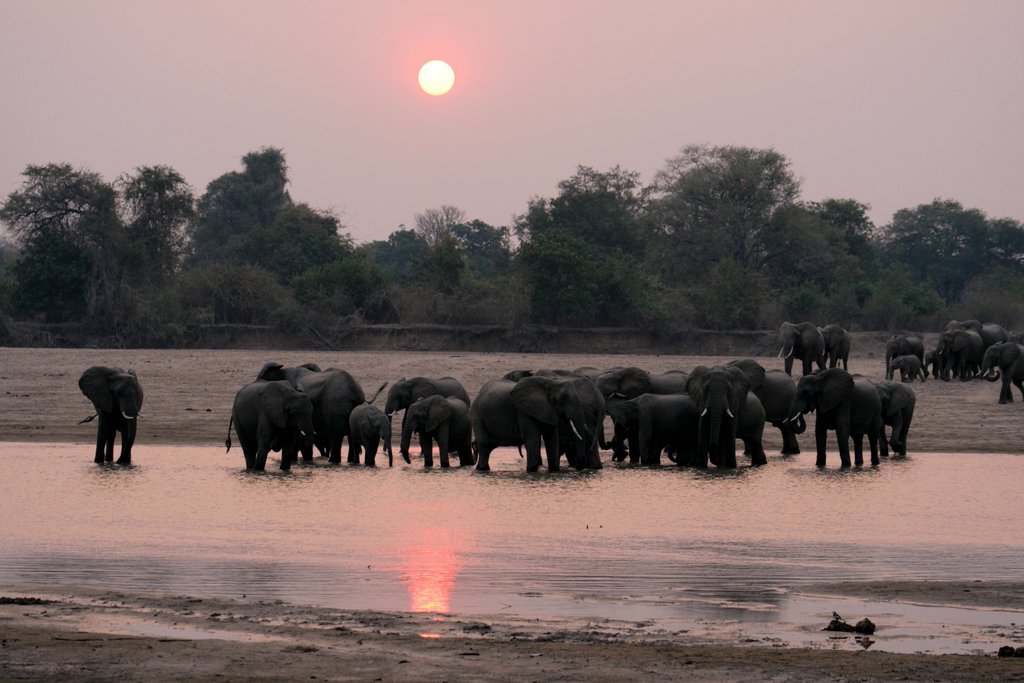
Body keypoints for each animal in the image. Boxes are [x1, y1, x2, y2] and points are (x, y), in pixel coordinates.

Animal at [472, 375, 604, 472]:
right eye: (563, 399)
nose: (579, 467)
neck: (551, 383)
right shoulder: (524, 411)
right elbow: (533, 438)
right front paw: (532, 470)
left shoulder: (548, 409)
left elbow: (552, 438)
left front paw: (554, 470)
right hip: (478, 417)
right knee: (484, 446)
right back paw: (483, 469)